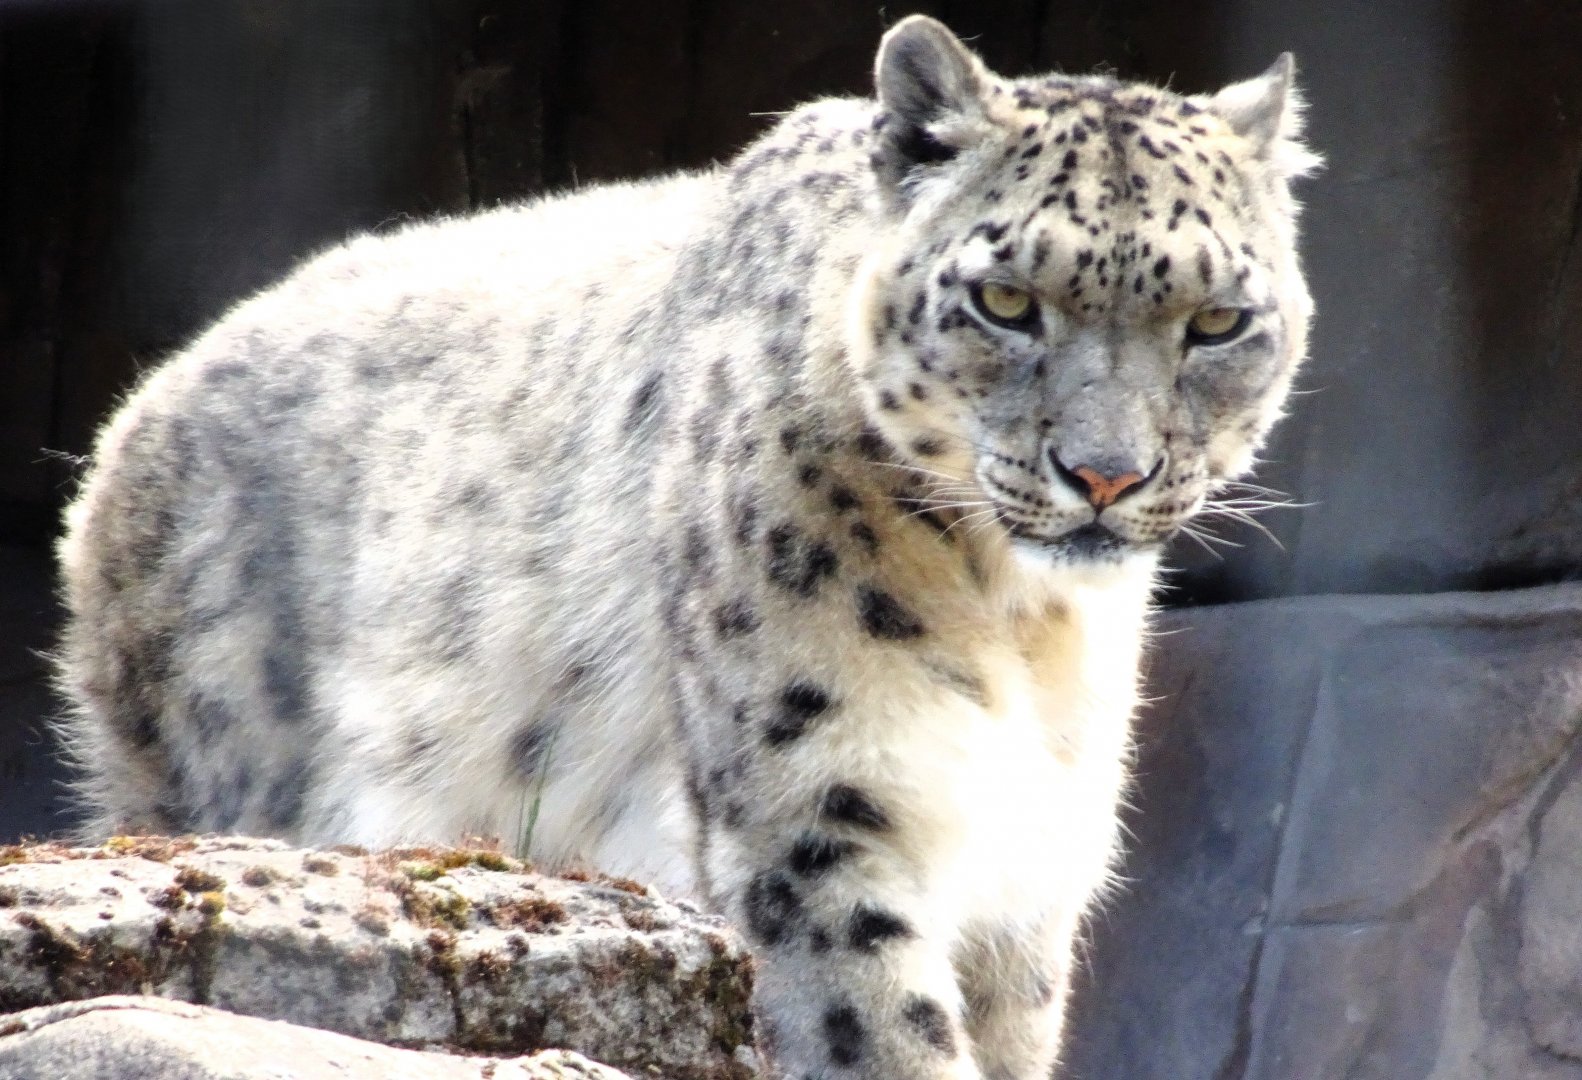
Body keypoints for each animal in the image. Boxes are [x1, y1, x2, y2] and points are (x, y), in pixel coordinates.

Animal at [55, 16, 1319, 1079]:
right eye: (1004, 301)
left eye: (1217, 321)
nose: (1106, 474)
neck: (1019, 621)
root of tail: (128, 422)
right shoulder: (819, 809)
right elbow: (879, 1028)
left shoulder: (1030, 869)